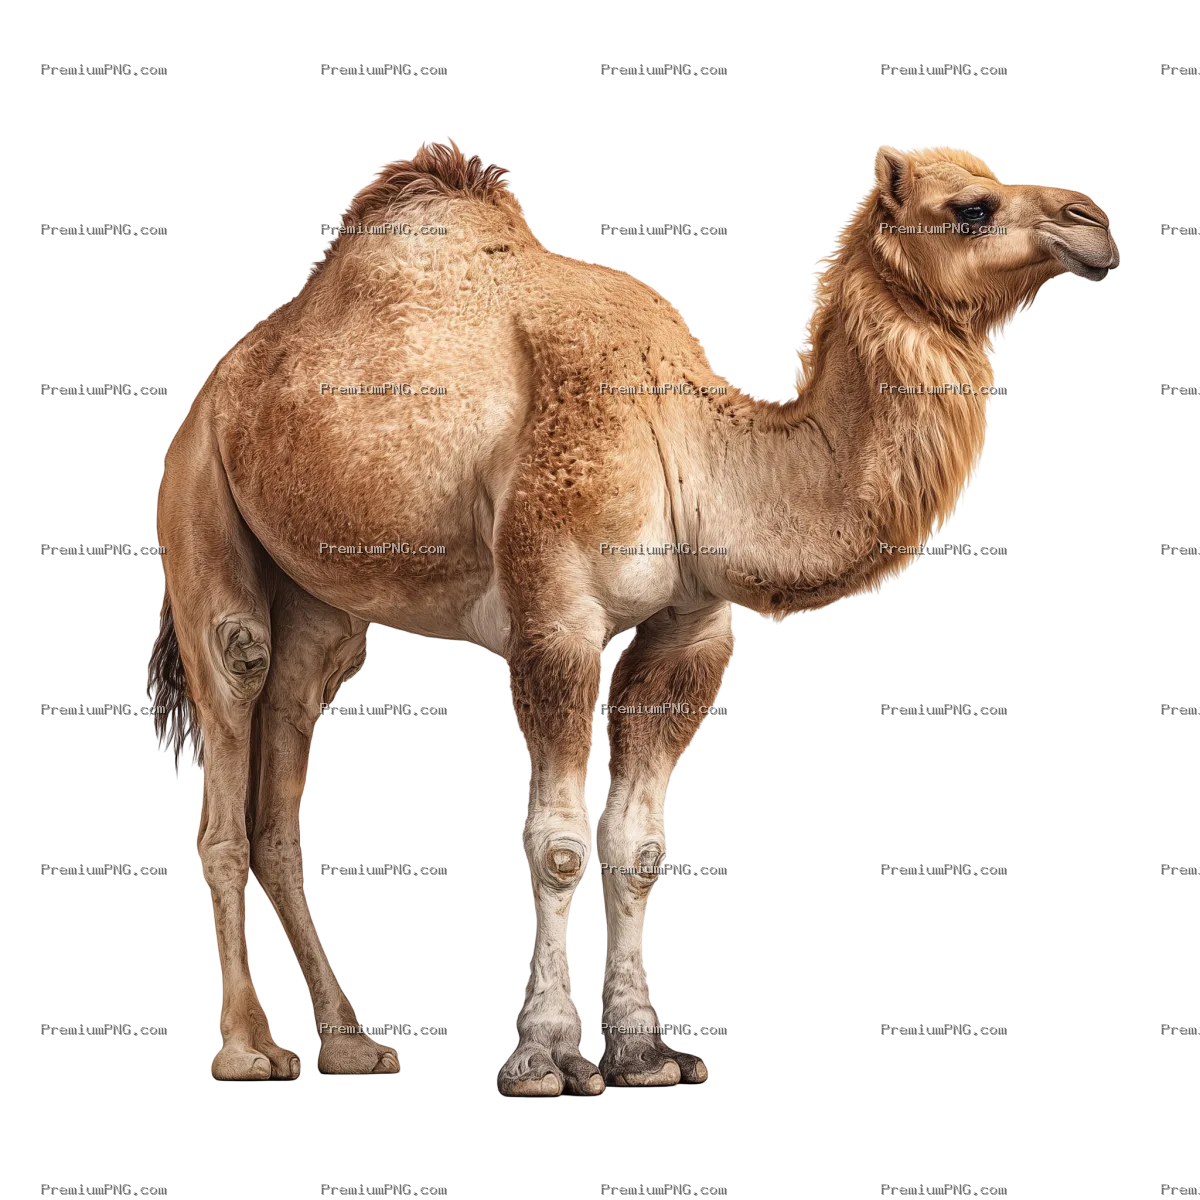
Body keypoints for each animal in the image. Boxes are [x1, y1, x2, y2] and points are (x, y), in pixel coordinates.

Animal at [148, 139, 1118, 1085]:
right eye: (973, 208)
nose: (1096, 222)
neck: (701, 449)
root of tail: (228, 374)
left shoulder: (689, 631)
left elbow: (642, 847)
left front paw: (646, 1053)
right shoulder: (556, 616)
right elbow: (560, 843)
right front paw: (544, 1055)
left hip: (323, 603)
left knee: (286, 759)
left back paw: (350, 1044)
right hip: (199, 499)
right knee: (232, 714)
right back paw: (247, 1050)